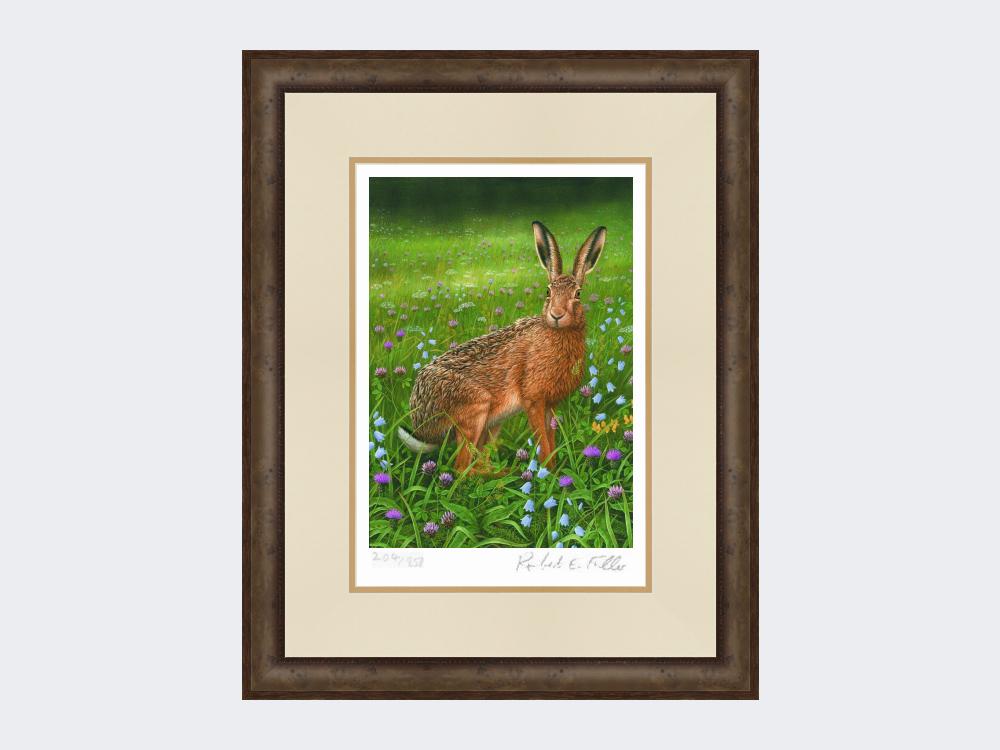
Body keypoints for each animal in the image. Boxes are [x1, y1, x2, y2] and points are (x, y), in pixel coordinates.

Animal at [397, 221, 607, 474]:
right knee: (461, 469)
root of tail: (420, 422)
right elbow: (543, 442)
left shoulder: (550, 405)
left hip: (492, 424)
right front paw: (548, 471)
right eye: (548, 292)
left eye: (578, 294)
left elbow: (551, 438)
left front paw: (554, 471)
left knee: (478, 460)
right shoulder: (533, 401)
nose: (556, 315)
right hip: (474, 410)